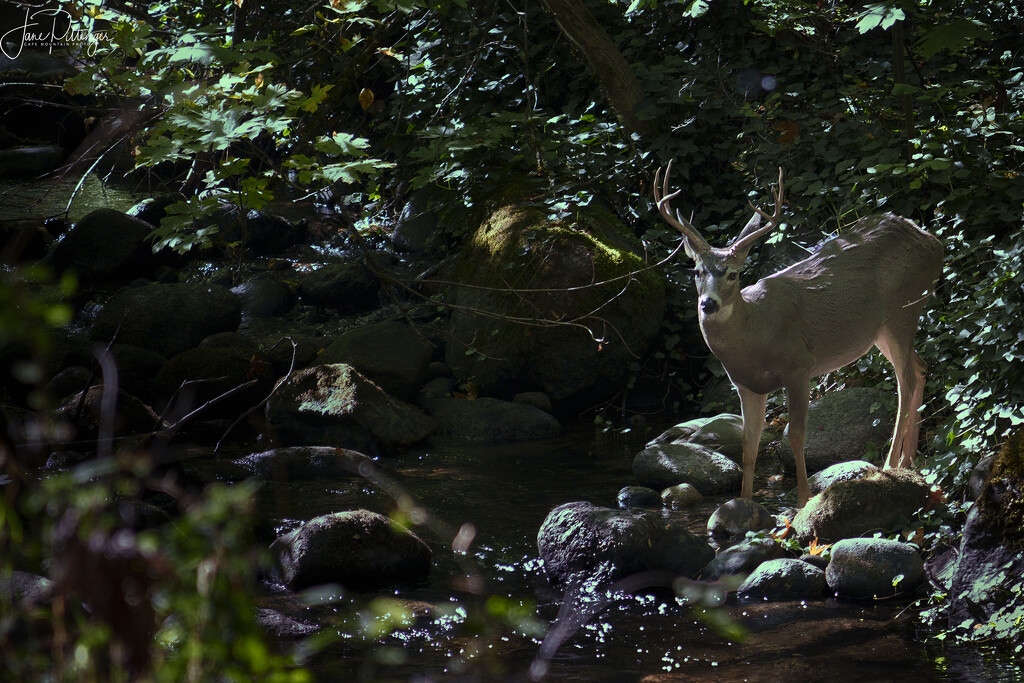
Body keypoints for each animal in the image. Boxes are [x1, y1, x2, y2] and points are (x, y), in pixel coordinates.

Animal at [655, 158, 942, 501]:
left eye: (734, 274)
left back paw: (888, 465)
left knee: (905, 381)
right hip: (881, 331)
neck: (755, 334)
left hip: (903, 308)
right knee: (921, 367)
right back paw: (910, 462)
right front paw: (745, 502)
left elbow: (795, 436)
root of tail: (933, 242)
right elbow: (748, 446)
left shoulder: (799, 366)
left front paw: (804, 499)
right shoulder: (746, 385)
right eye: (697, 271)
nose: (708, 304)